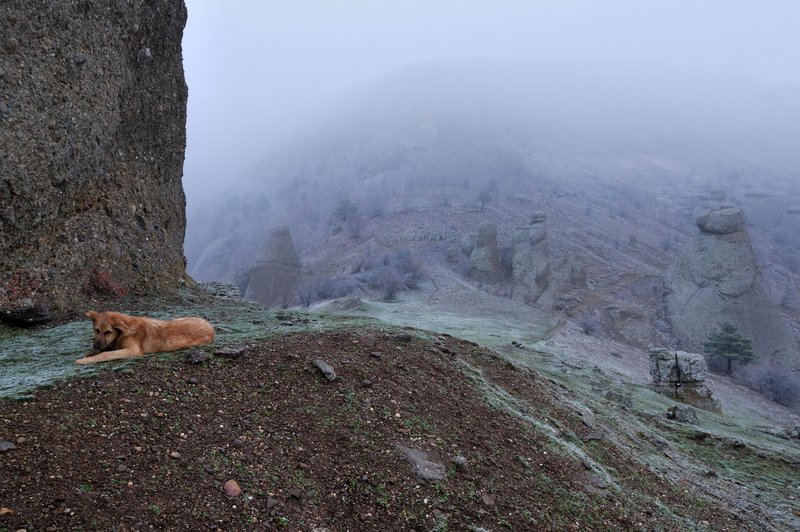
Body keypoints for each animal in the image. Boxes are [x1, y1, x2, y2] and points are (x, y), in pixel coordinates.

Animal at [75, 310, 216, 364]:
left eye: (108, 332)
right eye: (96, 330)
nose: (95, 345)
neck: (123, 332)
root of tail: (211, 327)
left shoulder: (132, 350)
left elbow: (106, 354)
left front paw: (83, 360)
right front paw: (89, 353)